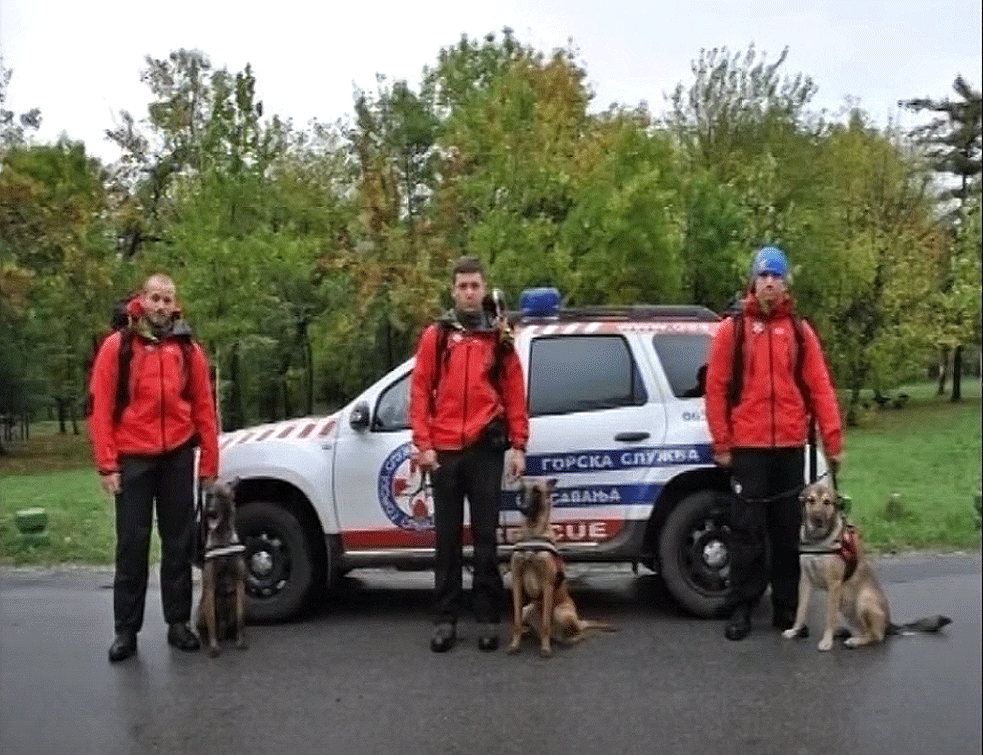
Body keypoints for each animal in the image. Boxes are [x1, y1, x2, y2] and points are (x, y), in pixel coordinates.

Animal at [195, 482, 248, 660]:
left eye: (220, 496)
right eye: (209, 496)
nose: (209, 511)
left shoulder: (239, 584)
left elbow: (240, 617)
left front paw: (241, 640)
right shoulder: (210, 586)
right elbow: (212, 620)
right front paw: (213, 647)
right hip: (201, 608)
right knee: (205, 626)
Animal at [508, 478, 616, 656]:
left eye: (537, 491)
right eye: (522, 491)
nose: (523, 508)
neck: (532, 532)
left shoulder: (547, 585)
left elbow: (545, 622)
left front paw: (545, 648)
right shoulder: (517, 582)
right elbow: (515, 621)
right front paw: (515, 644)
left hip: (561, 613)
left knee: (578, 633)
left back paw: (566, 640)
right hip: (527, 609)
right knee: (528, 624)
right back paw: (528, 632)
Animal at [780, 482, 948, 652]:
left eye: (827, 502)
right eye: (811, 500)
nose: (818, 520)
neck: (817, 540)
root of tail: (889, 624)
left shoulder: (834, 584)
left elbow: (829, 618)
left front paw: (826, 641)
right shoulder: (805, 581)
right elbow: (801, 611)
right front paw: (795, 631)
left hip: (864, 600)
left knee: (875, 636)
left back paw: (855, 641)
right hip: (845, 606)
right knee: (859, 629)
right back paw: (843, 632)